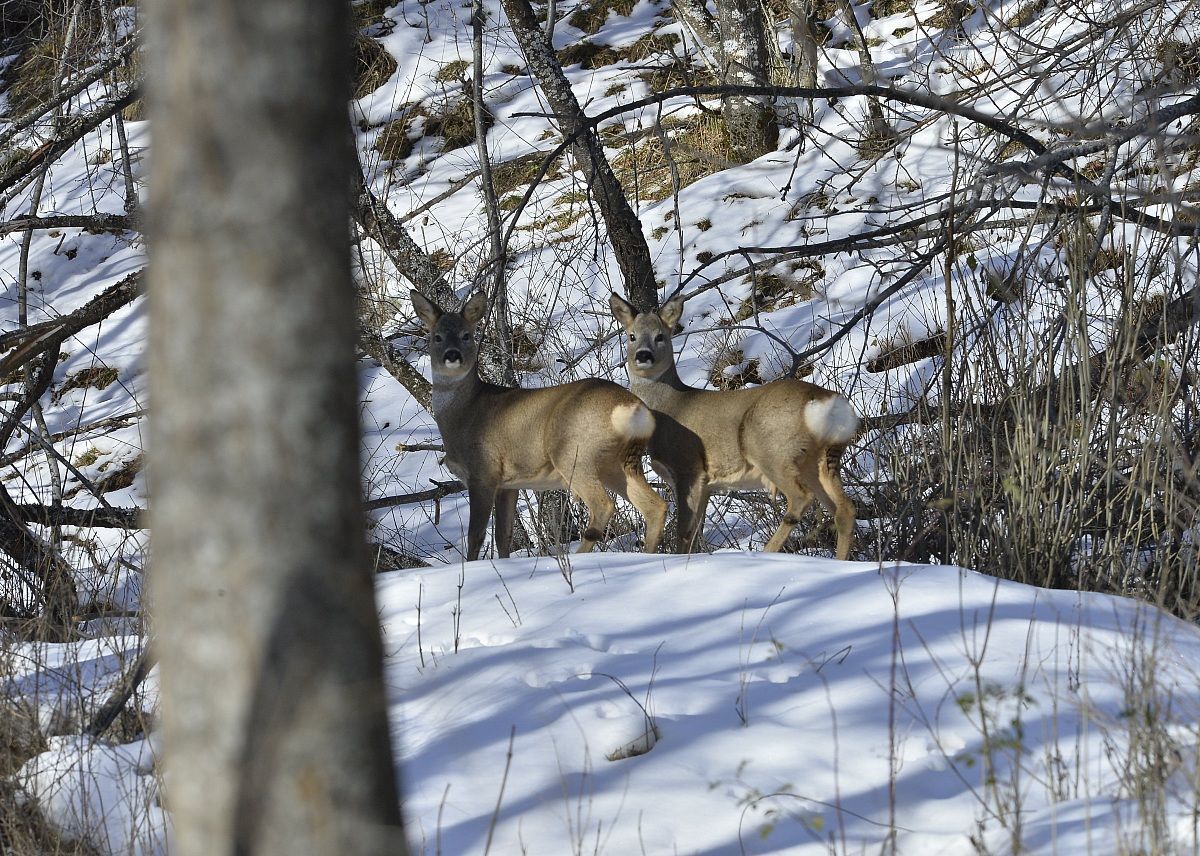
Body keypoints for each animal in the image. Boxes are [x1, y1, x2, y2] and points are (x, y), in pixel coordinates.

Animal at [410, 290, 667, 561]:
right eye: (437, 336)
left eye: (466, 335)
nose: (452, 355)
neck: (464, 413)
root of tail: (633, 407)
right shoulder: (508, 484)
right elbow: (503, 536)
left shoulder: (483, 472)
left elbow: (476, 537)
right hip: (619, 462)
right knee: (656, 506)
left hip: (574, 454)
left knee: (604, 505)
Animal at [609, 293, 859, 559]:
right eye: (631, 335)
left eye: (660, 336)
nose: (643, 355)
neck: (670, 406)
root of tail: (827, 401)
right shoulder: (706, 486)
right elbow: (694, 533)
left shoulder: (687, 467)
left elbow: (683, 532)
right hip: (822, 459)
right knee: (845, 509)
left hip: (770, 448)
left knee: (801, 498)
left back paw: (767, 551)